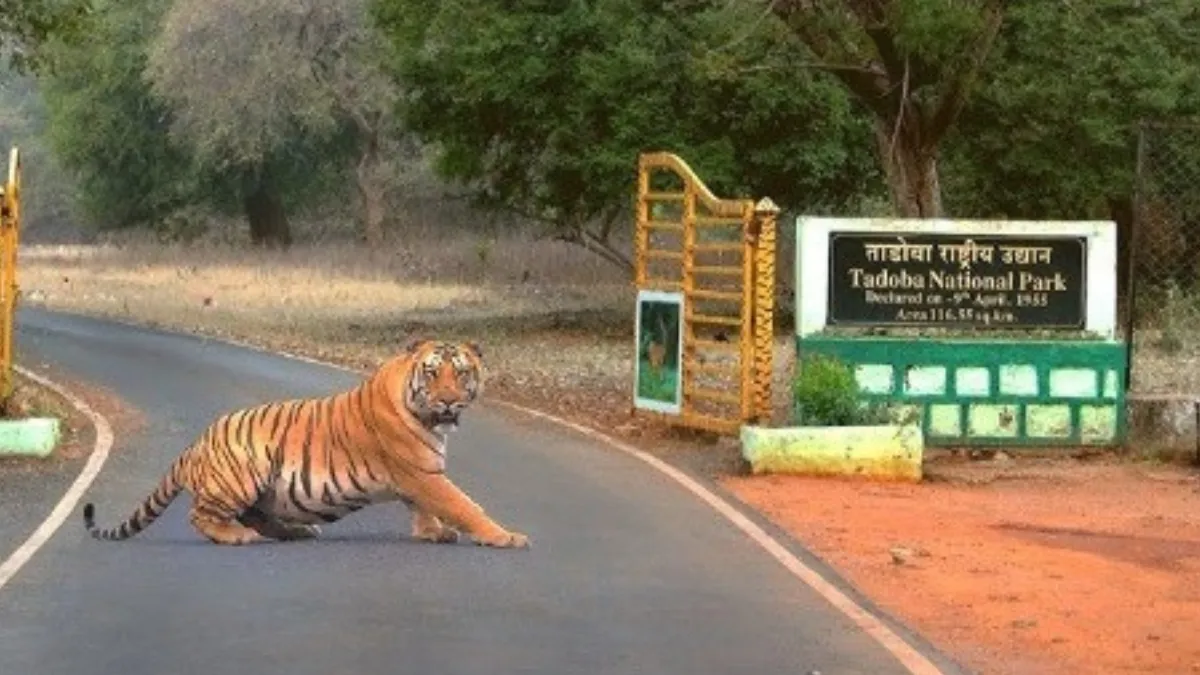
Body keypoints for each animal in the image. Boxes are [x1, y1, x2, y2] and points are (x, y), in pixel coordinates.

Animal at [81, 338, 530, 549]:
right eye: (434, 373)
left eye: (461, 373)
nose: (449, 400)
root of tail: (197, 443)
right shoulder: (421, 473)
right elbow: (464, 505)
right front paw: (504, 536)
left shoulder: (420, 477)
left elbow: (427, 508)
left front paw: (431, 532)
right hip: (243, 472)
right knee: (203, 516)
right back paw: (237, 537)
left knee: (256, 516)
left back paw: (297, 531)